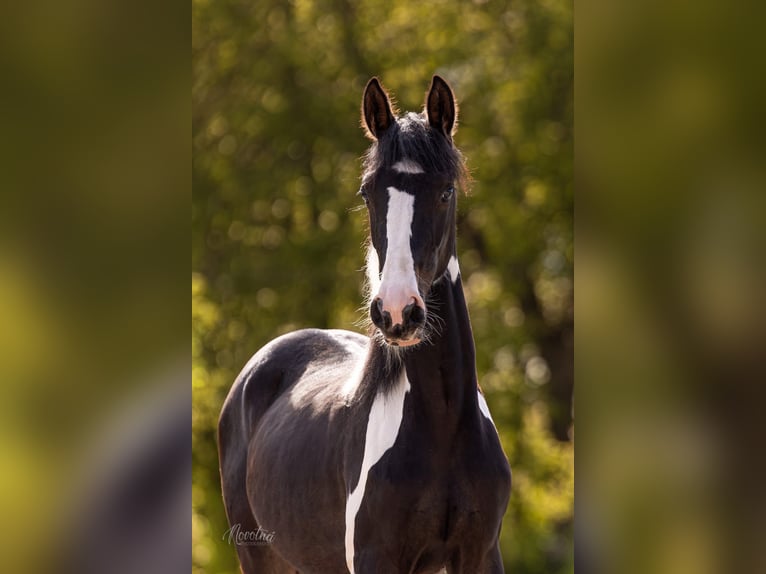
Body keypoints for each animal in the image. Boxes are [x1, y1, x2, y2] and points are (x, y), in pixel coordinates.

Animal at [218, 75, 511, 574]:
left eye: (446, 191)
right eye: (367, 192)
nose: (397, 312)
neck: (444, 425)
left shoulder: (480, 554)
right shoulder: (377, 558)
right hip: (258, 555)